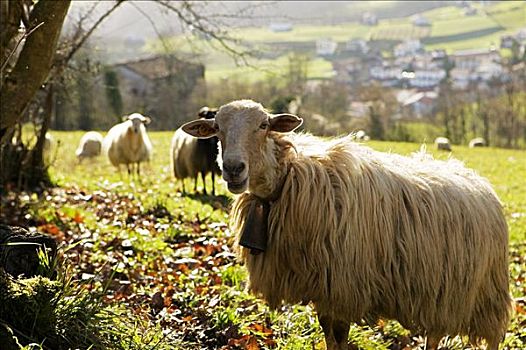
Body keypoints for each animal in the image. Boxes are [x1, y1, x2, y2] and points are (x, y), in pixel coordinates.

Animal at [184, 99, 512, 350]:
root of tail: (478, 180)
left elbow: (340, 337)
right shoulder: (322, 286)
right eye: (217, 129)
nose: (233, 169)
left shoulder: (343, 285)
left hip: (485, 293)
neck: (289, 179)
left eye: (264, 125)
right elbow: (329, 335)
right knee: (435, 334)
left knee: (490, 336)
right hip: (443, 290)